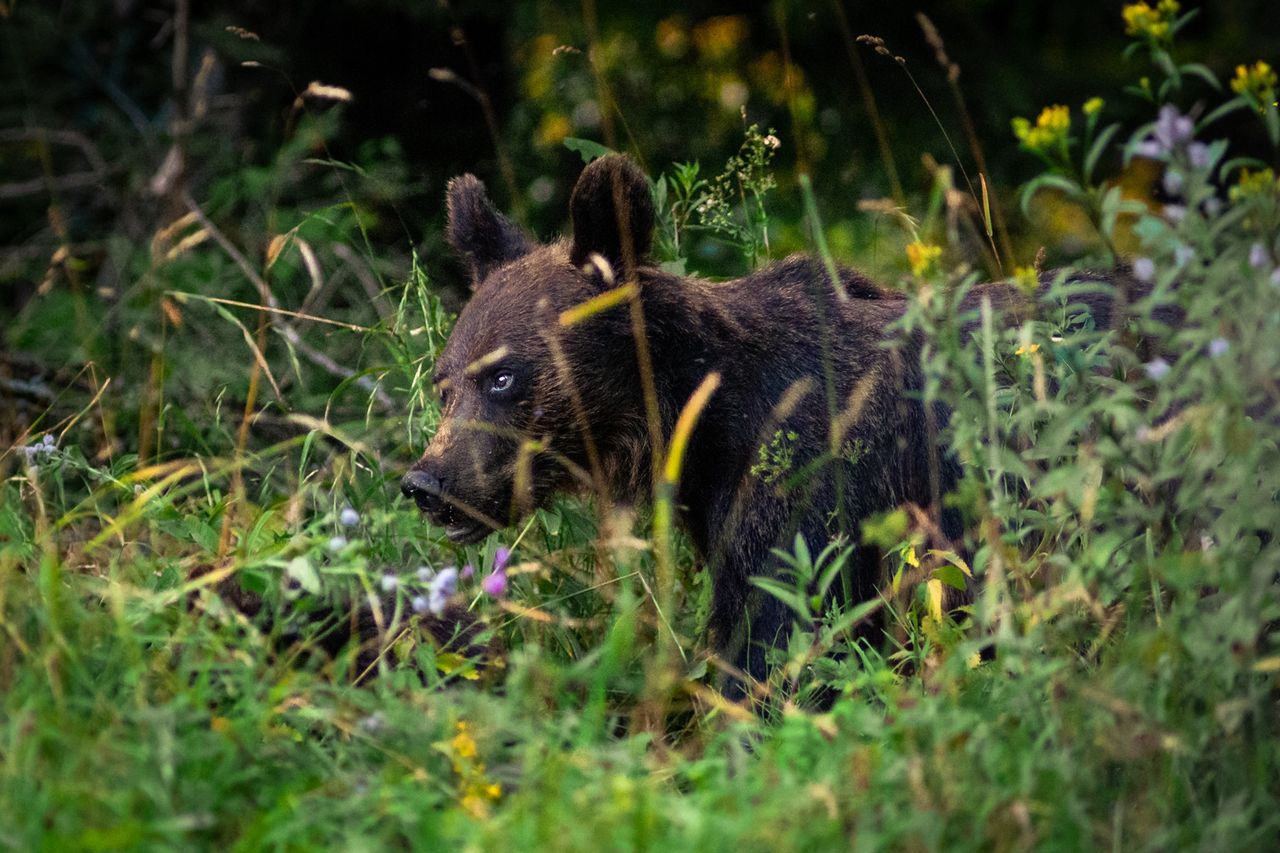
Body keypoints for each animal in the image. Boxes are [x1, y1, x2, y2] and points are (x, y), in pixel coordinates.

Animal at [401, 156, 1131, 696]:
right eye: (445, 383)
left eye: (503, 376)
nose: (427, 482)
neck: (695, 421)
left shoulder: (809, 478)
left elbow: (778, 640)